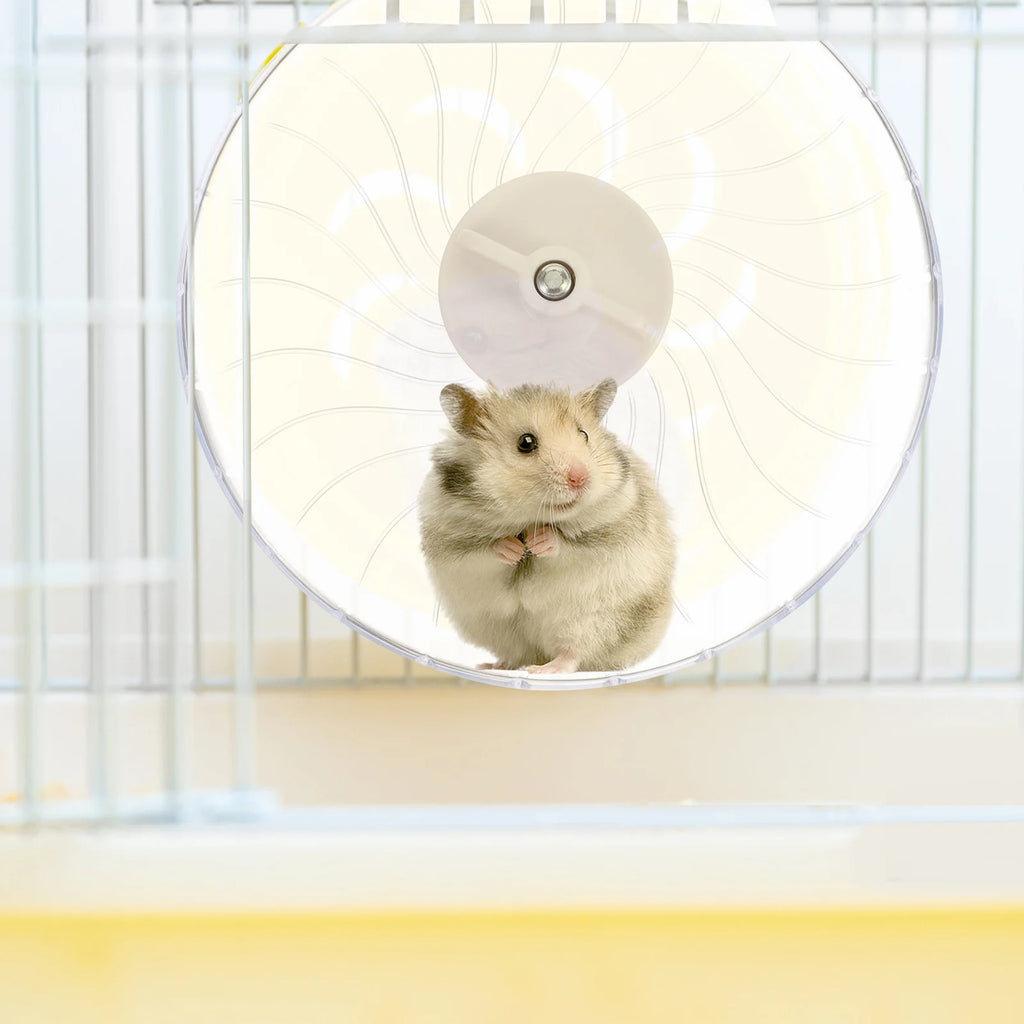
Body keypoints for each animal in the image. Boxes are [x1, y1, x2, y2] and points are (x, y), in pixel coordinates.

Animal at [418, 377, 676, 675]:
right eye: (526, 442)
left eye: (584, 434)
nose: (581, 478)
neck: (530, 518)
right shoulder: (450, 542)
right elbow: (484, 551)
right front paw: (515, 549)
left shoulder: (612, 532)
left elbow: (569, 546)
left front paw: (537, 542)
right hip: (497, 629)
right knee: (517, 654)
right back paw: (494, 666)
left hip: (594, 621)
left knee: (574, 654)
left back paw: (543, 670)